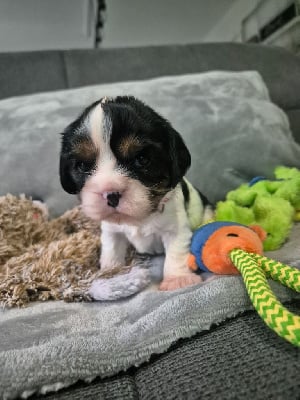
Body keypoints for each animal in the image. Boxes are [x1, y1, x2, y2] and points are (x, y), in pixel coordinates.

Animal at [59, 97, 212, 290]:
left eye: (142, 159)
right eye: (82, 166)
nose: (111, 193)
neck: (139, 218)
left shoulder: (176, 229)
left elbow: (175, 253)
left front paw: (177, 279)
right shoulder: (111, 231)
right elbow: (111, 251)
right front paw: (110, 273)